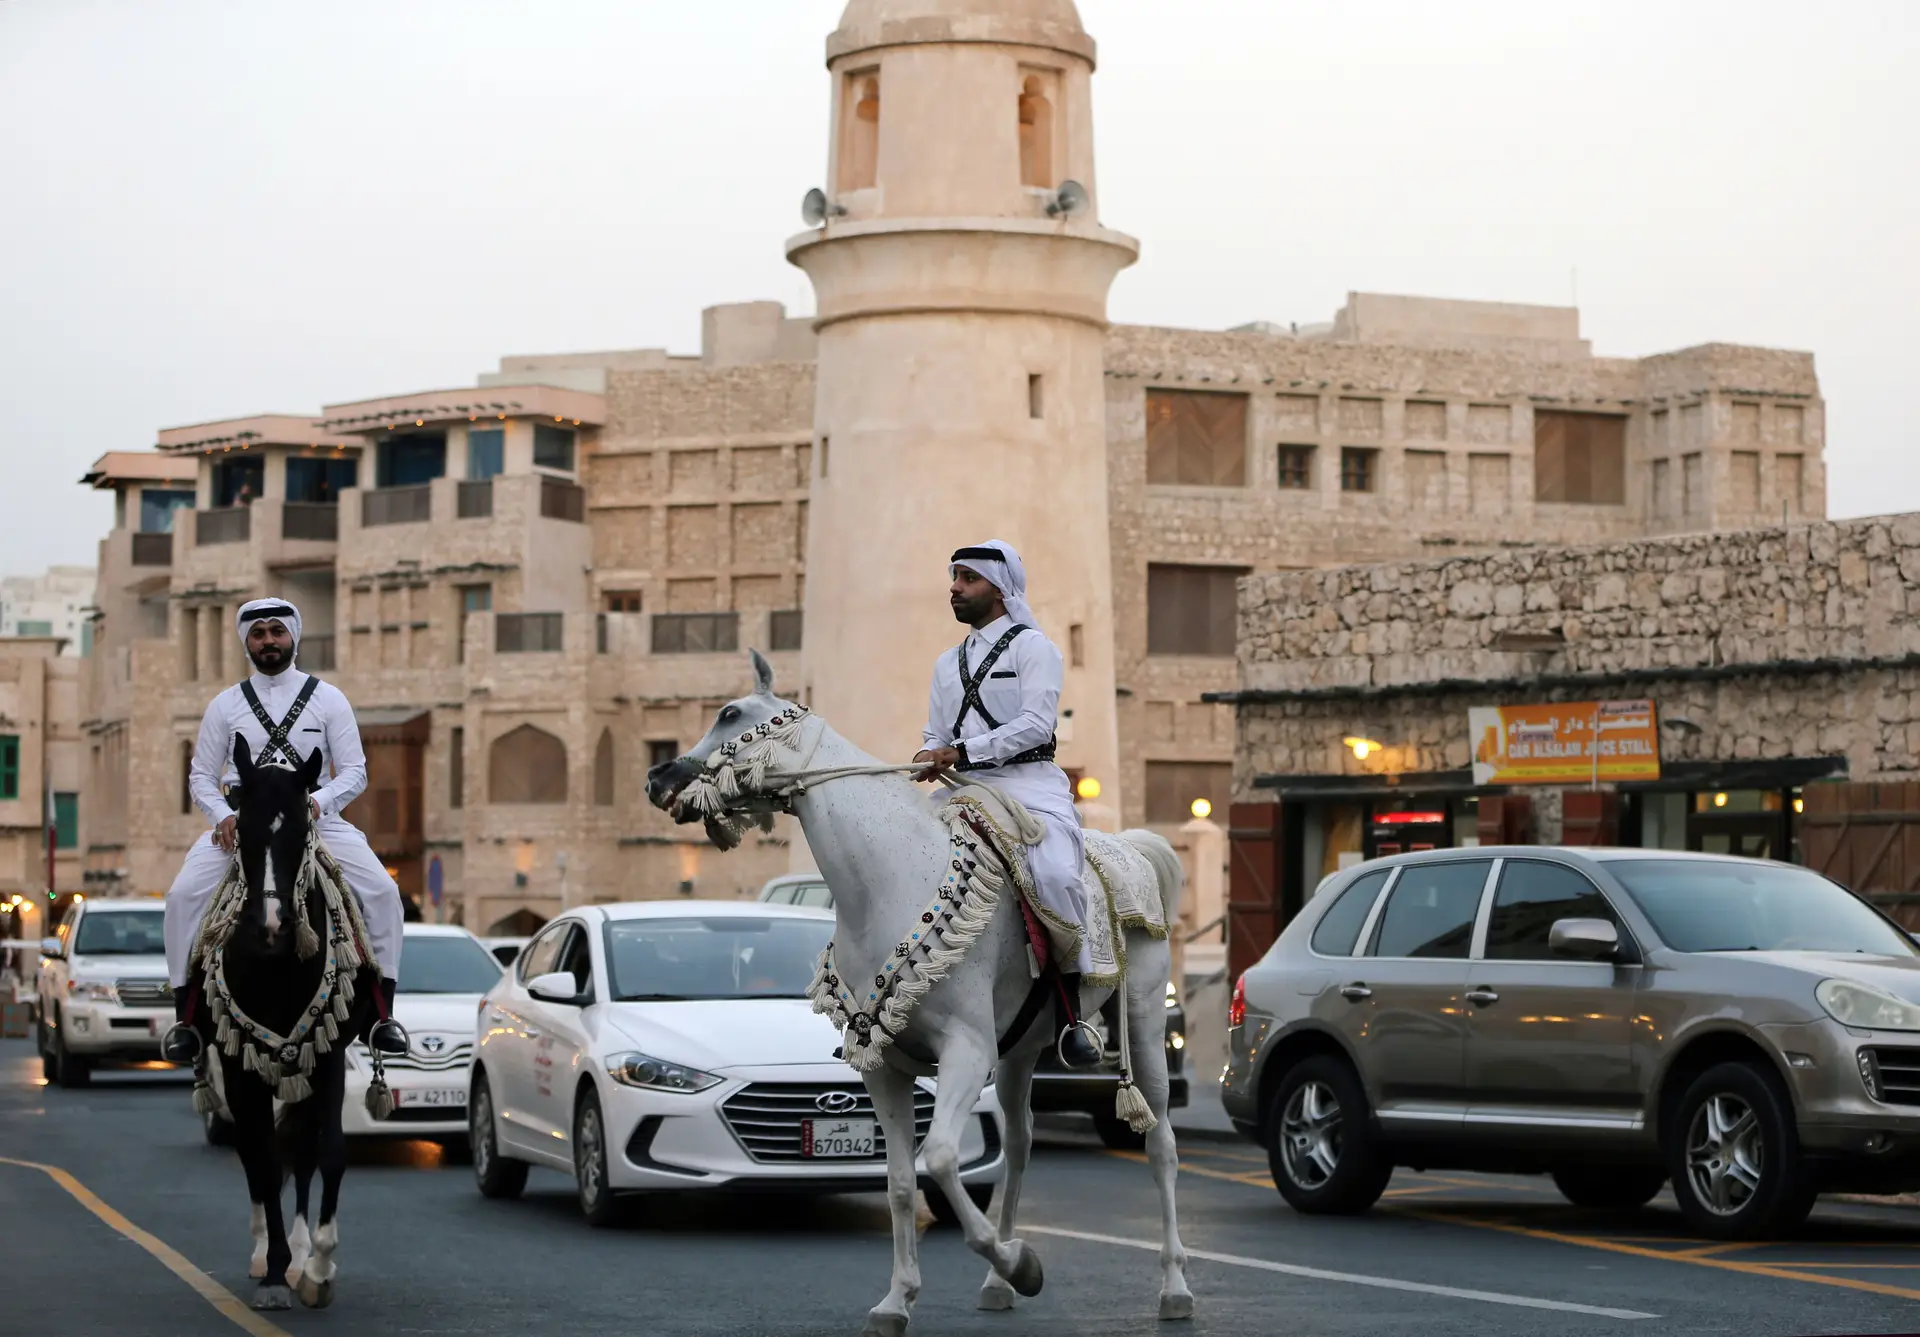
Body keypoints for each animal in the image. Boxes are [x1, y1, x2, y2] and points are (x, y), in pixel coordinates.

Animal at [187, 737, 378, 1313]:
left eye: (299, 831)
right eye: (244, 831)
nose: (270, 927)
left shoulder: (329, 1053)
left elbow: (329, 1152)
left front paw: (317, 1266)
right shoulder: (239, 1062)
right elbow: (264, 1160)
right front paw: (274, 1270)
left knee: (302, 1150)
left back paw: (298, 1252)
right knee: (256, 1153)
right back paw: (266, 1253)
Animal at [648, 653, 1182, 1329]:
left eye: (730, 713)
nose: (658, 778)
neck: (885, 883)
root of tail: (1134, 849)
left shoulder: (965, 1053)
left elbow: (943, 1159)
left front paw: (1021, 1264)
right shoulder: (885, 1066)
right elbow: (902, 1182)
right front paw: (899, 1298)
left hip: (1142, 1018)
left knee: (1160, 1142)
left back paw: (1173, 1287)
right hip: (1020, 1050)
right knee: (1021, 1144)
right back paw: (997, 1284)